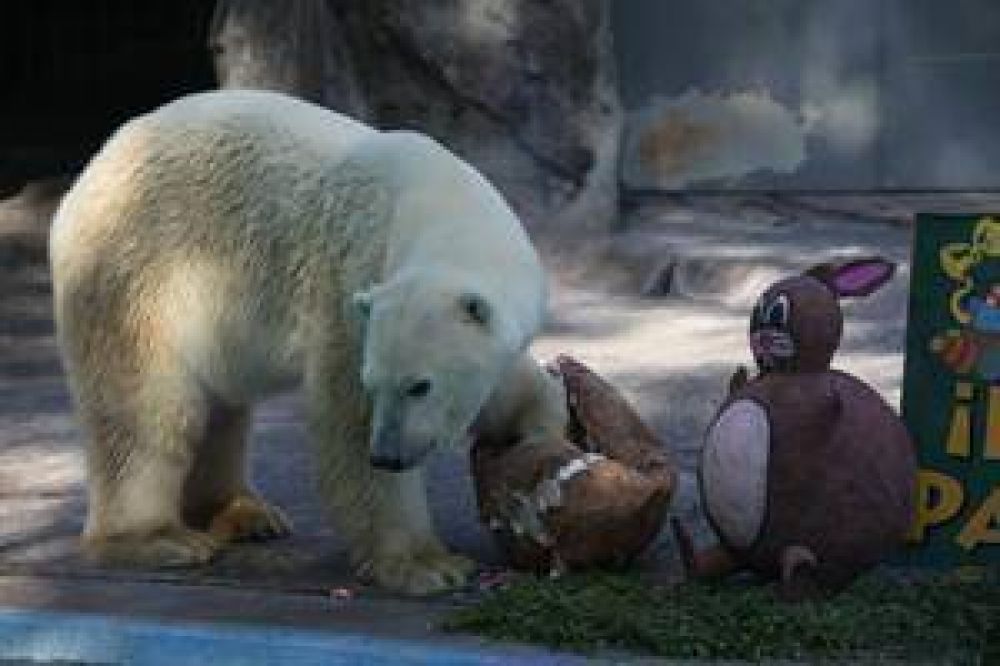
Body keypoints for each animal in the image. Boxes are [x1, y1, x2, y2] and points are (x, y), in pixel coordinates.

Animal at [49, 89, 567, 595]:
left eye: (420, 386)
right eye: (376, 383)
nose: (389, 455)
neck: (436, 201)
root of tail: (84, 180)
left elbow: (507, 381)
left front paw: (544, 430)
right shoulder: (350, 283)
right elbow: (348, 419)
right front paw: (426, 565)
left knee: (219, 405)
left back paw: (244, 514)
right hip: (140, 271)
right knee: (147, 408)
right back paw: (158, 539)